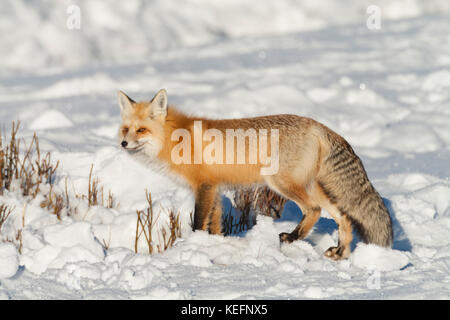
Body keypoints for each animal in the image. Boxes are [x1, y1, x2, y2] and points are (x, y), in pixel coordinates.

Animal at [118, 89, 392, 258]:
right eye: (125, 129)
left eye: (141, 130)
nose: (123, 144)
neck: (177, 139)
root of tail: (319, 126)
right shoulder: (215, 188)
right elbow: (215, 225)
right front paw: (215, 245)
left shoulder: (204, 186)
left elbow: (198, 223)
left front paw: (192, 246)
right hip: (312, 186)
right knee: (343, 216)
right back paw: (340, 252)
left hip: (281, 183)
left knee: (314, 210)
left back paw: (292, 238)